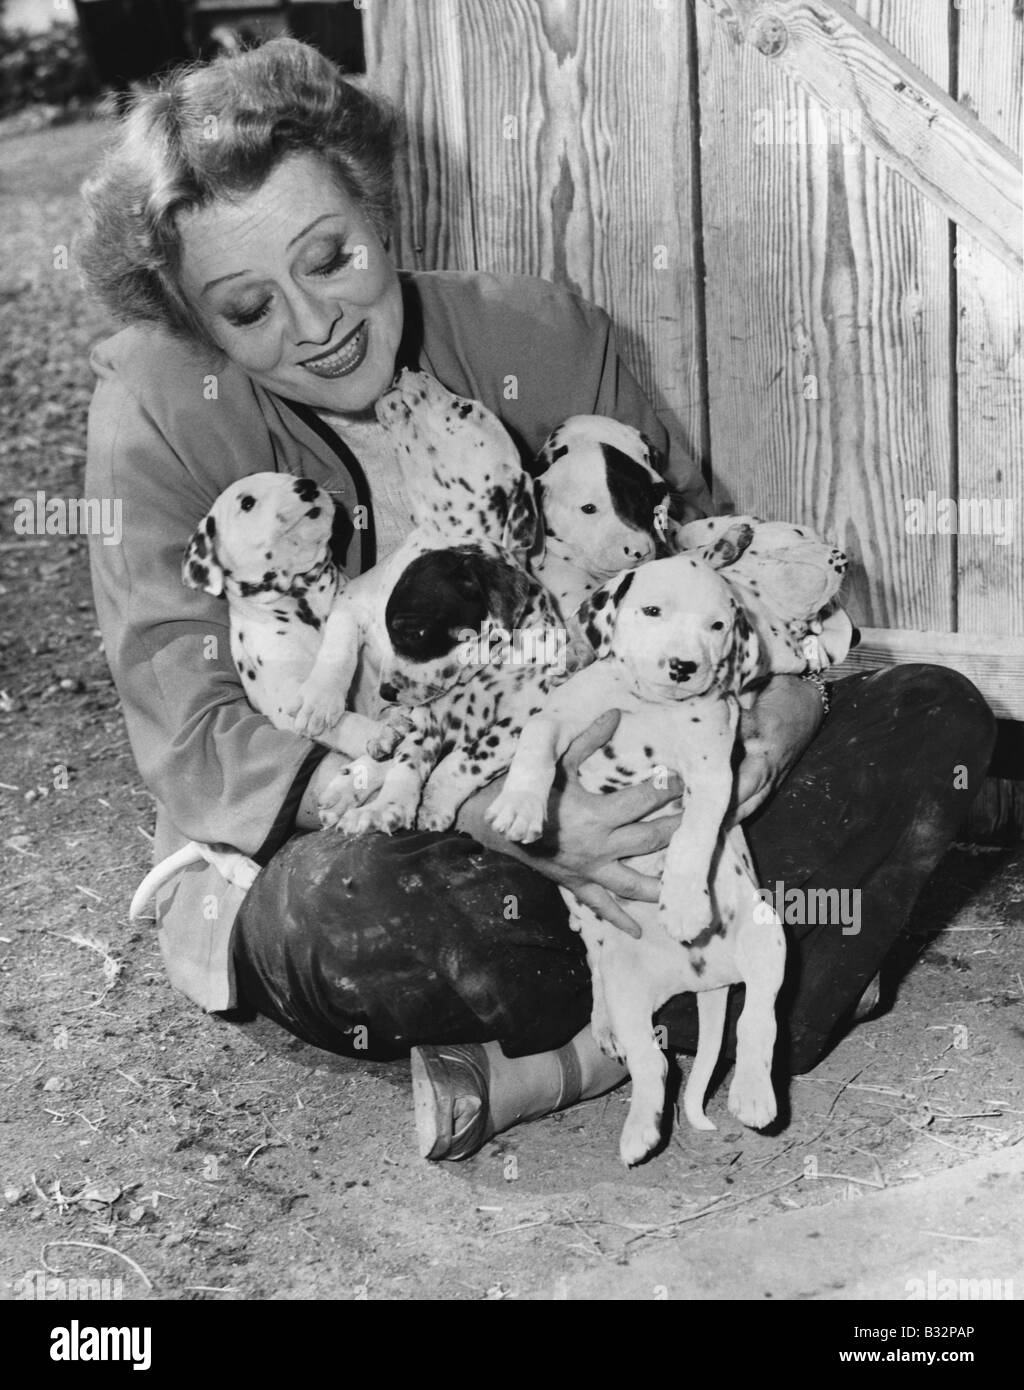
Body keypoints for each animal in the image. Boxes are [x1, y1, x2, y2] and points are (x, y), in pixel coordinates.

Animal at [486, 553, 783, 1162]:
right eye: (651, 611)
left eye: (717, 625)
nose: (684, 666)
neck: (650, 706)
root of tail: (702, 979)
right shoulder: (560, 718)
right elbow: (534, 745)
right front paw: (520, 806)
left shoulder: (711, 771)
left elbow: (695, 834)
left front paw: (685, 903)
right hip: (626, 986)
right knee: (652, 1059)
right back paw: (642, 1127)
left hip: (768, 939)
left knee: (757, 1021)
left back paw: (752, 1096)